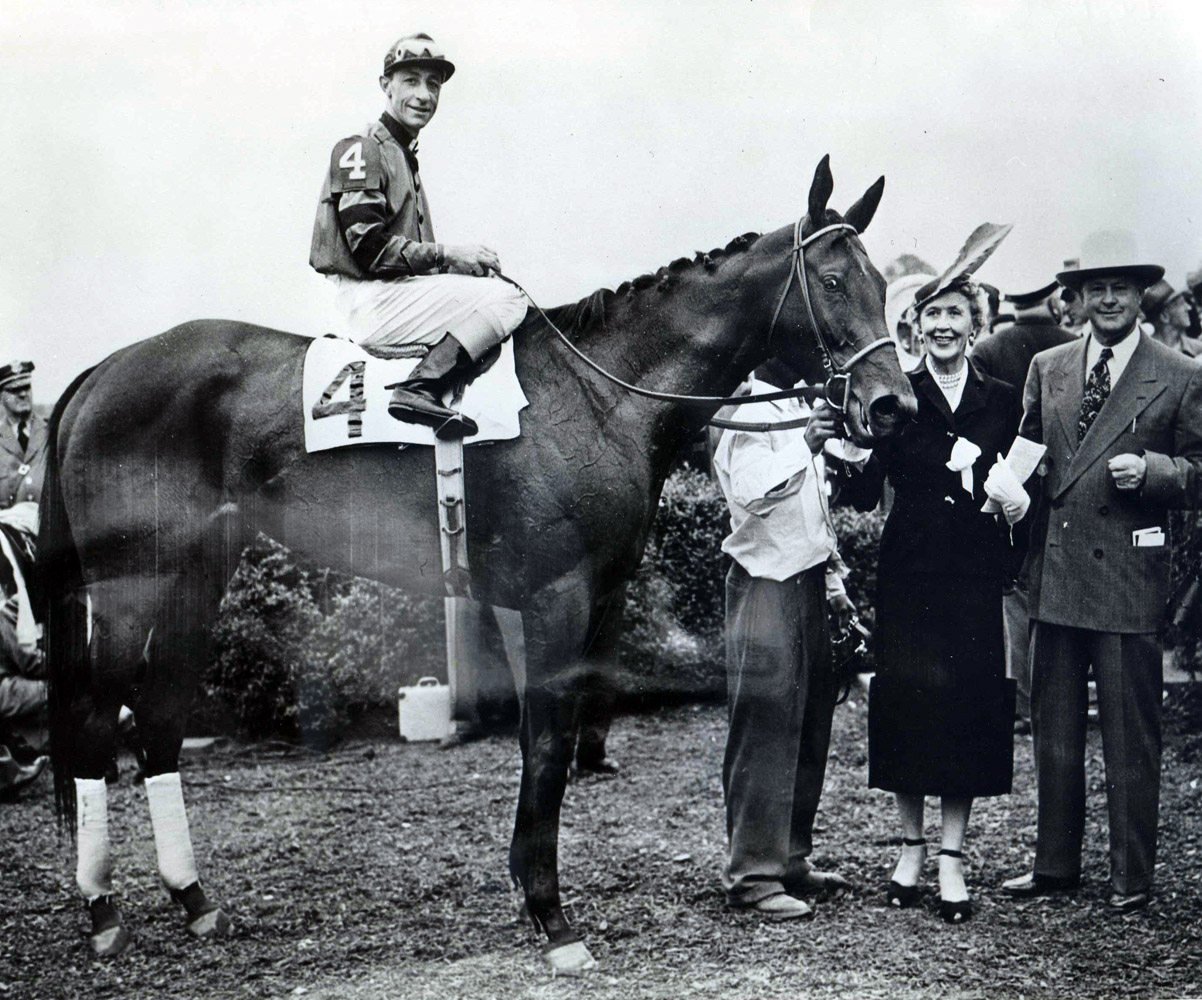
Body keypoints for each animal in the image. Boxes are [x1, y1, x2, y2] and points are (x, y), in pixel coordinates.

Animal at [42, 158, 913, 975]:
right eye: (834, 281)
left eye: (881, 283)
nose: (893, 406)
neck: (599, 394)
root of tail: (101, 371)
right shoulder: (555, 599)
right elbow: (549, 747)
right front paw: (553, 919)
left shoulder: (590, 602)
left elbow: (546, 743)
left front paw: (535, 897)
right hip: (127, 590)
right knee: (96, 726)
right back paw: (103, 911)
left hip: (196, 578)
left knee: (158, 724)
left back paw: (194, 900)